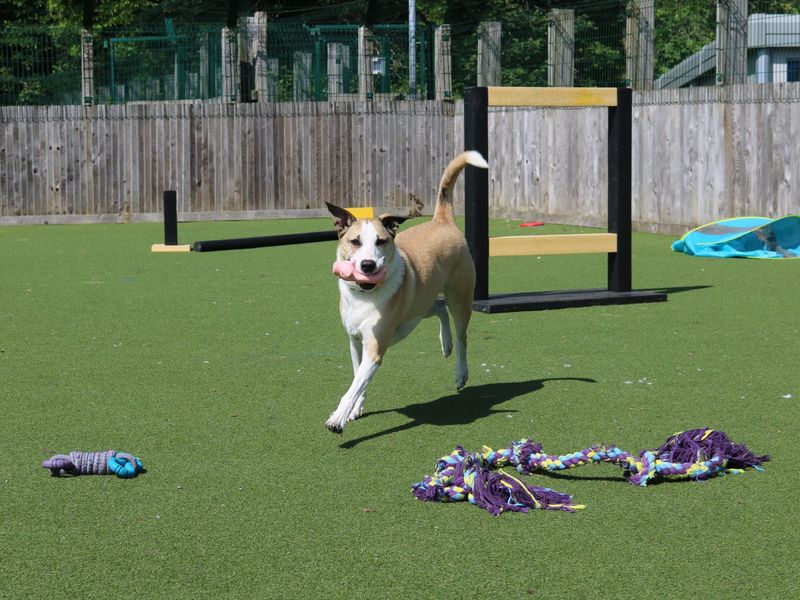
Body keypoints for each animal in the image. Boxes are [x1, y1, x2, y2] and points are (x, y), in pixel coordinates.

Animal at [324, 149, 488, 432]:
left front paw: (338, 417)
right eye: (355, 242)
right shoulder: (355, 341)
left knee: (462, 335)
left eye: (381, 241)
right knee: (439, 307)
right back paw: (445, 343)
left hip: (460, 297)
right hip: (418, 305)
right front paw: (355, 409)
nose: (368, 265)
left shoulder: (375, 348)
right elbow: (357, 379)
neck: (366, 296)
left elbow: (354, 386)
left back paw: (460, 371)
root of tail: (442, 221)